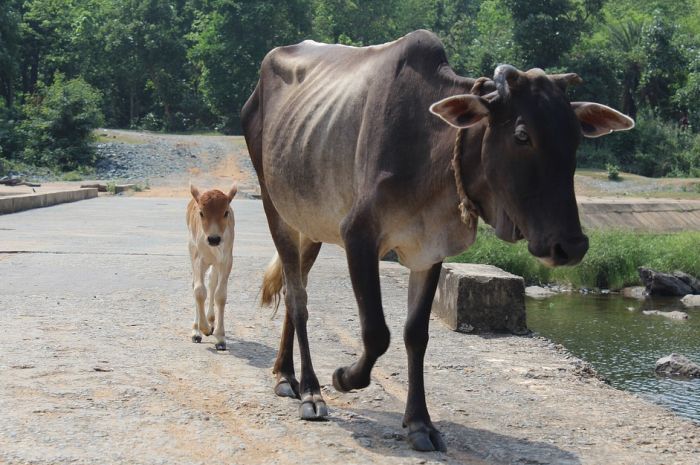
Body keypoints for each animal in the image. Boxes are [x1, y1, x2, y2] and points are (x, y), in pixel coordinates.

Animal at [186, 181, 238, 348]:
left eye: (226, 212)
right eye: (201, 213)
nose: (214, 239)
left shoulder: (226, 261)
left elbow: (220, 295)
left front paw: (220, 337)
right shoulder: (198, 259)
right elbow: (199, 291)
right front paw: (202, 329)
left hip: (215, 264)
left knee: (212, 282)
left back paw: (211, 320)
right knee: (198, 286)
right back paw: (197, 329)